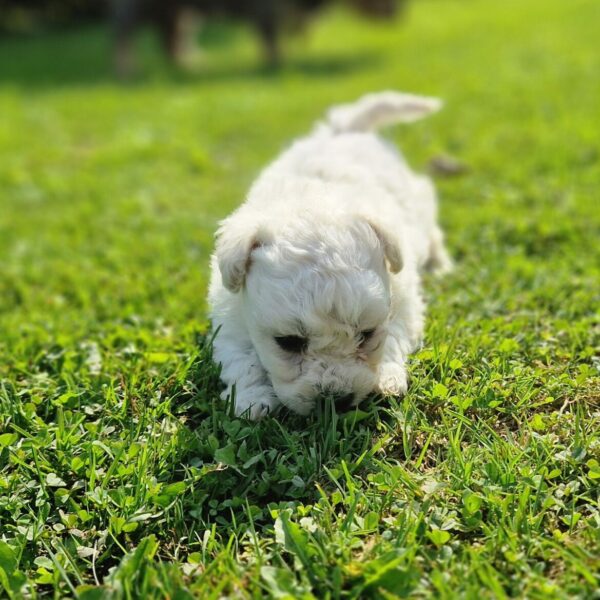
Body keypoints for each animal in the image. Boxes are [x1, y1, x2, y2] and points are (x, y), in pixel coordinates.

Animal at [210, 91, 450, 420]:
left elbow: (395, 335)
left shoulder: (404, 299)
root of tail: (345, 130)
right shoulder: (230, 315)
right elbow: (242, 357)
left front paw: (387, 377)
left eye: (366, 334)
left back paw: (440, 265)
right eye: (289, 343)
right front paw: (251, 399)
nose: (336, 401)